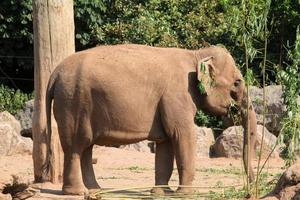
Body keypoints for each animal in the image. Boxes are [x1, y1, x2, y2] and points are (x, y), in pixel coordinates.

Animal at [45, 44, 256, 195]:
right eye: (237, 83)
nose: (250, 187)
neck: (195, 55)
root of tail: (54, 73)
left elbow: (166, 142)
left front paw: (162, 192)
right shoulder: (177, 95)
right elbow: (183, 135)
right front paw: (186, 194)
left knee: (86, 148)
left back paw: (96, 191)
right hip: (73, 103)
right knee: (76, 147)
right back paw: (77, 193)